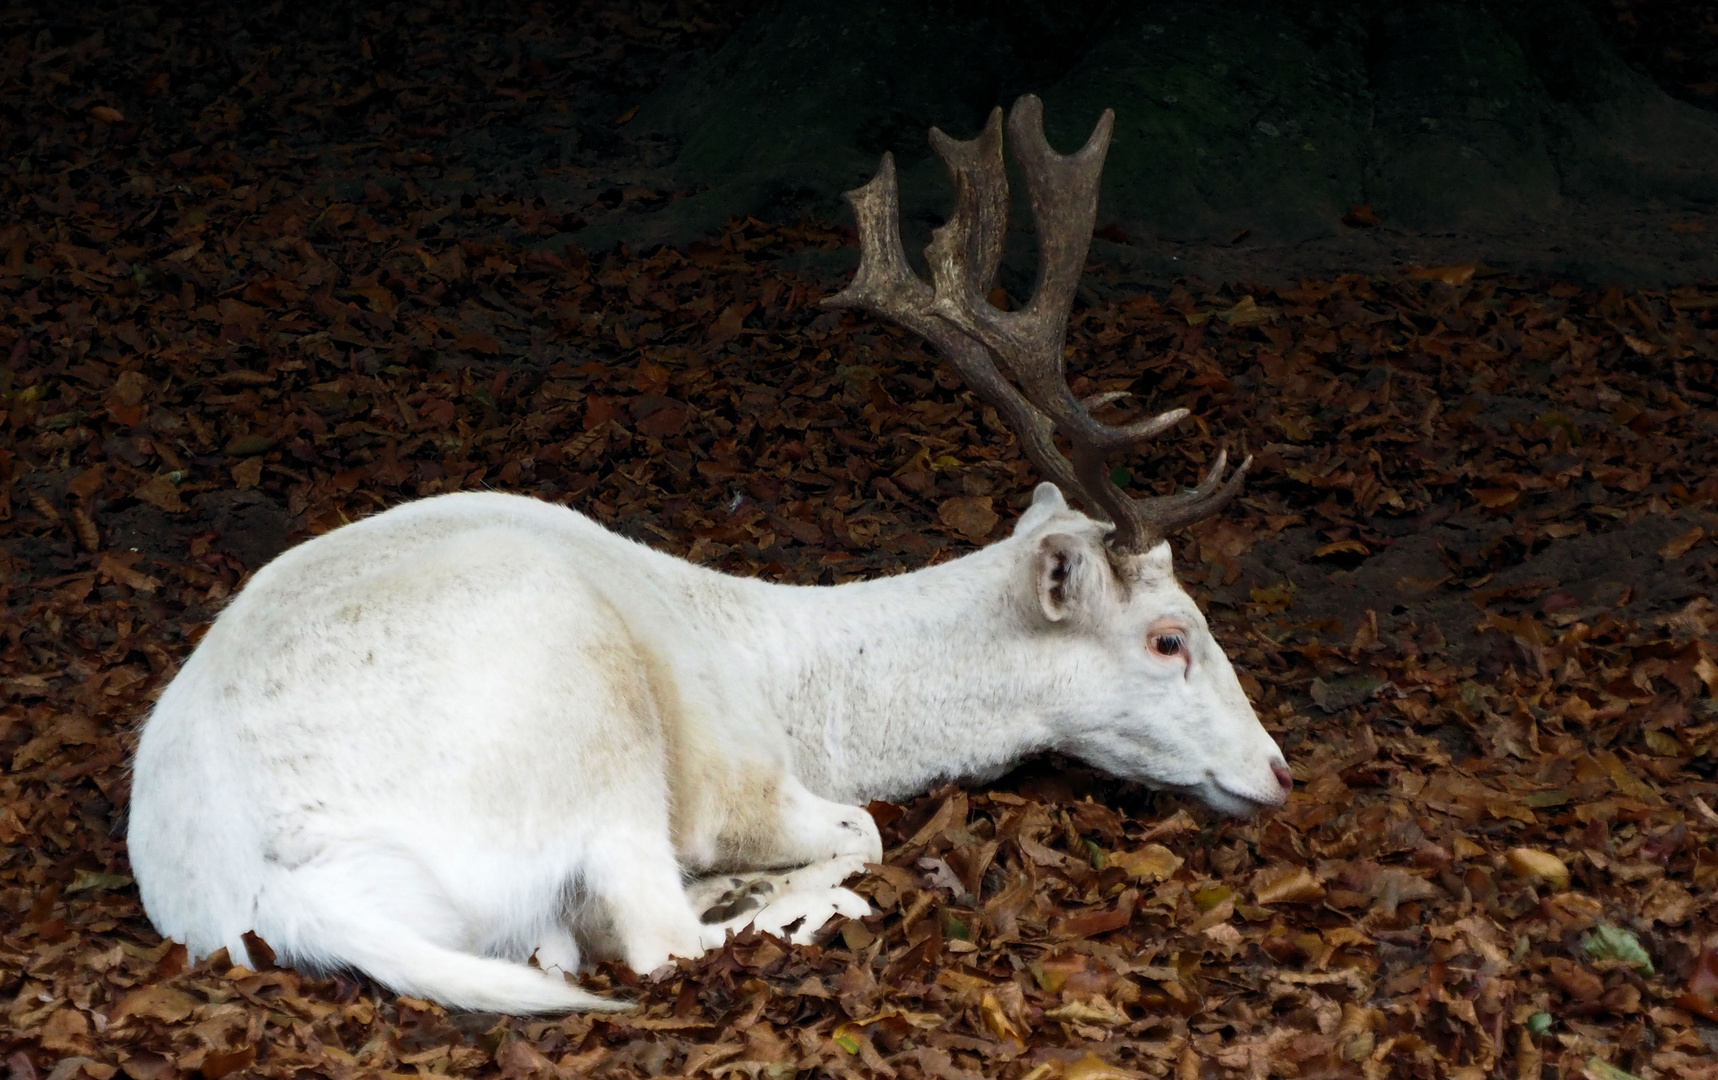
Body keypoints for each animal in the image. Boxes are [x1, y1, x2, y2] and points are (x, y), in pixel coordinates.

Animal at [130, 97, 1291, 1016]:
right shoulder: (740, 782)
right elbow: (860, 828)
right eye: (1168, 638)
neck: (791, 686)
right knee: (657, 938)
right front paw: (771, 879)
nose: (1278, 772)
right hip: (587, 722)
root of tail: (274, 894)